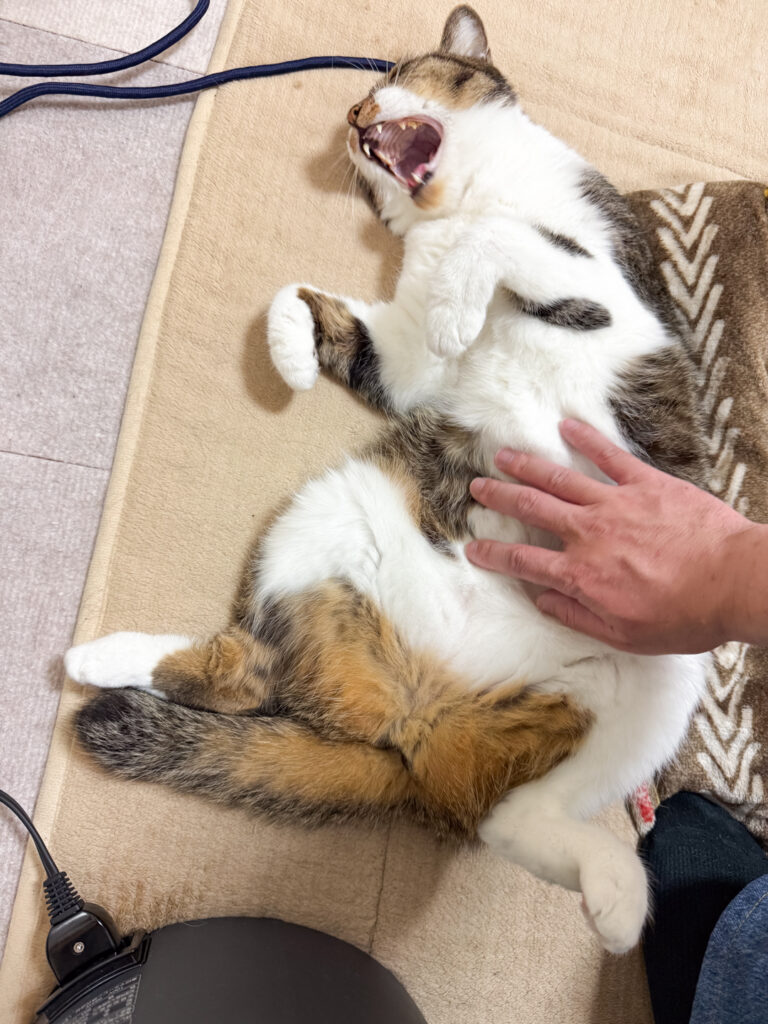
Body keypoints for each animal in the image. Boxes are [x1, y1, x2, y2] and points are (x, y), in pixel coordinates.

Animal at [68, 5, 709, 954]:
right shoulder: (406, 365)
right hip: (332, 515)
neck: (461, 198)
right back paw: (102, 656)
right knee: (252, 673)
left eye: (395, 76)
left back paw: (618, 896)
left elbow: (508, 240)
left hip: (669, 667)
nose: (354, 115)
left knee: (509, 818)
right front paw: (294, 353)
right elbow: (312, 304)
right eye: (359, 103)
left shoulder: (607, 289)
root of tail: (418, 723)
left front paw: (457, 304)